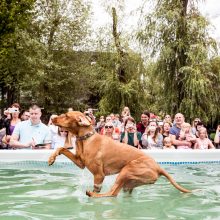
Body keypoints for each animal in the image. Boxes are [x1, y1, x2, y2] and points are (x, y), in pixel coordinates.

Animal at [48, 111, 191, 197]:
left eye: (66, 115)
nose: (53, 118)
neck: (86, 139)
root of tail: (158, 167)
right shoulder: (80, 163)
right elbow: (62, 148)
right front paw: (51, 158)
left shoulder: (99, 175)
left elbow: (97, 186)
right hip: (129, 183)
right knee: (117, 192)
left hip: (126, 170)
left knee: (112, 193)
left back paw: (92, 195)